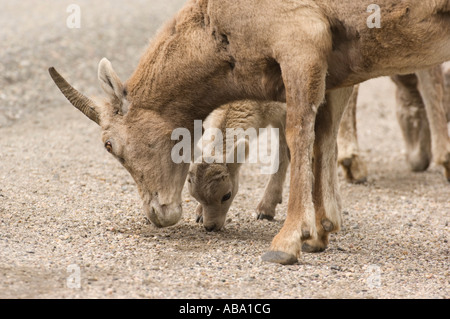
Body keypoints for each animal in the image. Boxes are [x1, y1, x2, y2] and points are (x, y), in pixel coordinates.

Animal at [49, 0, 450, 264]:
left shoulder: (300, 48)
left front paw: (287, 243)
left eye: (109, 145)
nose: (158, 215)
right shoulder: (333, 74)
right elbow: (323, 140)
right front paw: (320, 233)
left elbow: (299, 138)